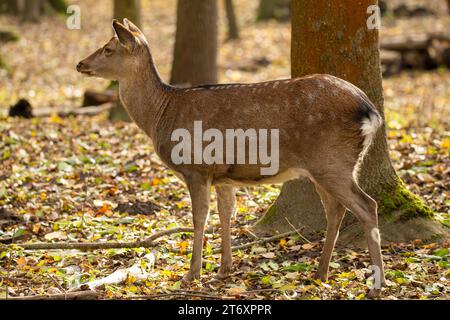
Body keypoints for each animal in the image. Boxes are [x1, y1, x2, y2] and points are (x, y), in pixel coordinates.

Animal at [77, 18, 386, 296]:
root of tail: (371, 111)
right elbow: (226, 213)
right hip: (325, 167)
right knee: (336, 209)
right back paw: (320, 273)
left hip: (332, 161)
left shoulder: (196, 168)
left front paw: (192, 274)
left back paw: (376, 285)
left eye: (108, 48)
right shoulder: (223, 176)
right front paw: (224, 269)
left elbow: (199, 217)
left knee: (367, 205)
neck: (160, 114)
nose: (80, 64)